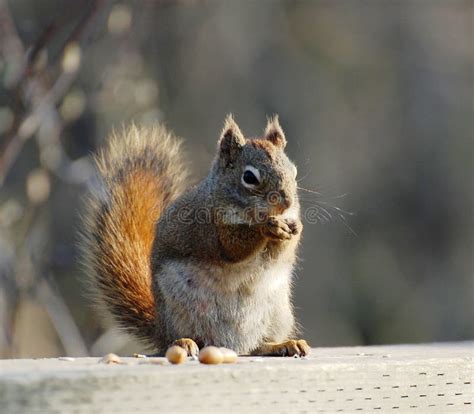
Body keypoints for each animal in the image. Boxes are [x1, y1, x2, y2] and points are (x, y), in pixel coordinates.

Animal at [80, 115, 312, 358]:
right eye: (249, 177)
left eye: (294, 171)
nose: (286, 202)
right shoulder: (210, 229)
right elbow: (232, 247)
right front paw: (267, 227)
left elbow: (282, 252)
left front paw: (294, 227)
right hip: (180, 311)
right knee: (182, 339)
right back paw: (184, 342)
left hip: (277, 313)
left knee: (257, 346)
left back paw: (283, 345)